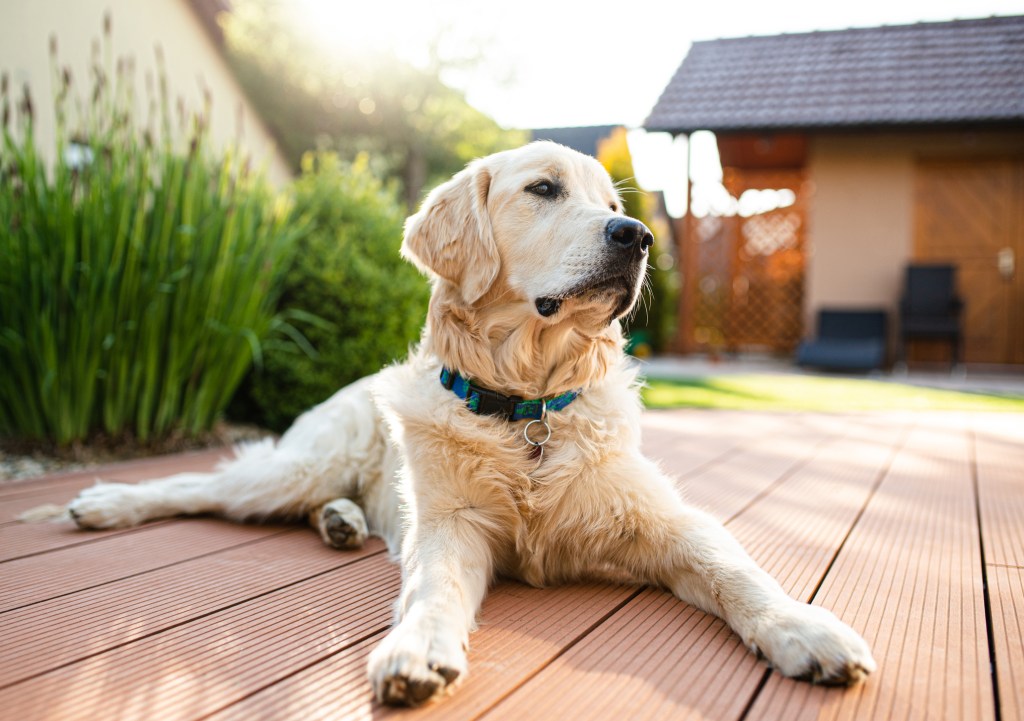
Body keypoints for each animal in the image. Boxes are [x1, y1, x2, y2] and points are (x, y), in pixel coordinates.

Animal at [68, 141, 876, 704]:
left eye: (609, 199)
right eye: (543, 189)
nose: (638, 235)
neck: (528, 409)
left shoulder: (665, 520)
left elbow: (737, 571)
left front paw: (807, 629)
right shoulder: (450, 524)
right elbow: (433, 586)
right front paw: (417, 651)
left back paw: (341, 523)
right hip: (296, 467)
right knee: (197, 484)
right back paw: (106, 502)